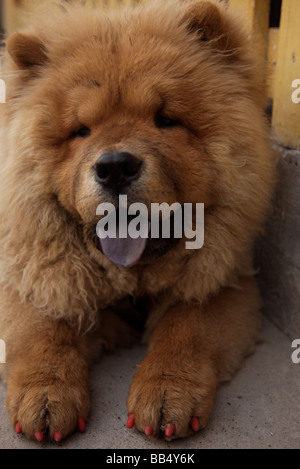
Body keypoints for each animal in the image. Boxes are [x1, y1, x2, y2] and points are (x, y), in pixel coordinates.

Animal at [0, 0, 274, 440]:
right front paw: (45, 394)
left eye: (165, 119)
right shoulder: (29, 264)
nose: (114, 167)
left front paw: (167, 392)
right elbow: (42, 324)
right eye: (81, 130)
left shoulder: (226, 281)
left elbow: (187, 326)